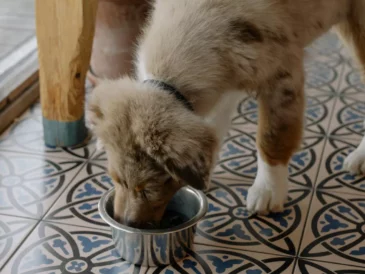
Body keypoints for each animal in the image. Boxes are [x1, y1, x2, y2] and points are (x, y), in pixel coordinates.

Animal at [86, 0, 364, 227]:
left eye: (148, 188)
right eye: (116, 179)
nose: (124, 222)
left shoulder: (281, 74)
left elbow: (272, 136)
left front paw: (268, 190)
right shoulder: (229, 76)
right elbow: (213, 125)